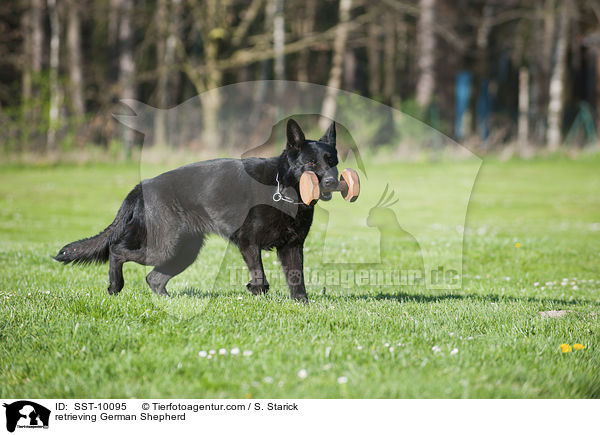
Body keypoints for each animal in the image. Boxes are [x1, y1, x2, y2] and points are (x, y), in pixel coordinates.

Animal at [55, 119, 338, 304]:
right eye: (311, 163)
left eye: (332, 162)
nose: (332, 182)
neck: (283, 188)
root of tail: (141, 186)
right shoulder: (248, 243)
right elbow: (259, 275)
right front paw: (257, 291)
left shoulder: (292, 247)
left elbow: (297, 278)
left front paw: (302, 304)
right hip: (165, 246)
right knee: (117, 251)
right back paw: (116, 286)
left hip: (184, 251)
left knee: (154, 278)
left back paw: (170, 302)